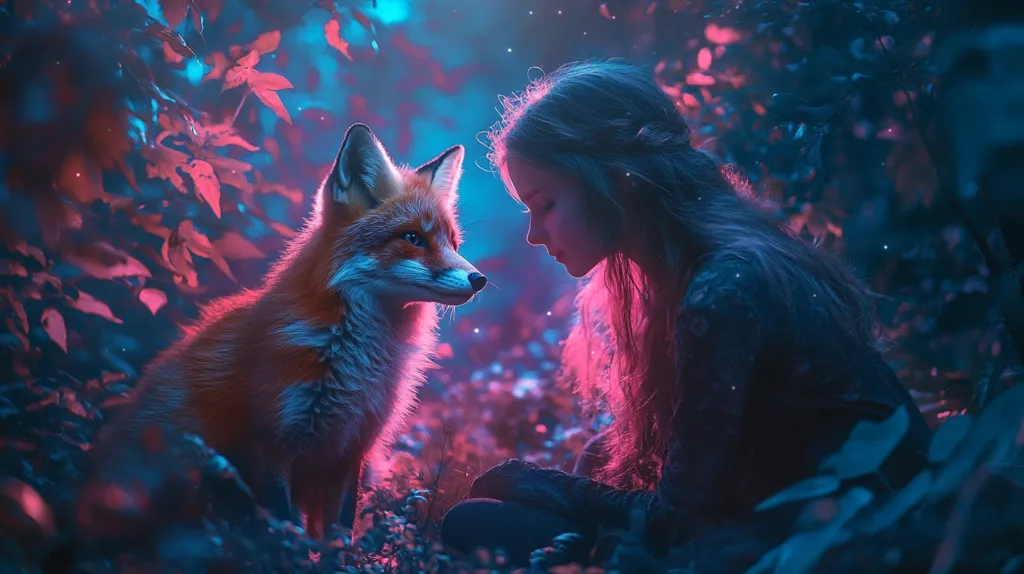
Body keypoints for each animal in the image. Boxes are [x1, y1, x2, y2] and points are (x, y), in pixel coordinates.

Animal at [86, 123, 486, 540]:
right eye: (412, 238)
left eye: (453, 243)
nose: (480, 280)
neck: (356, 365)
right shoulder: (272, 444)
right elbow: (279, 531)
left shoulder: (349, 451)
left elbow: (339, 533)